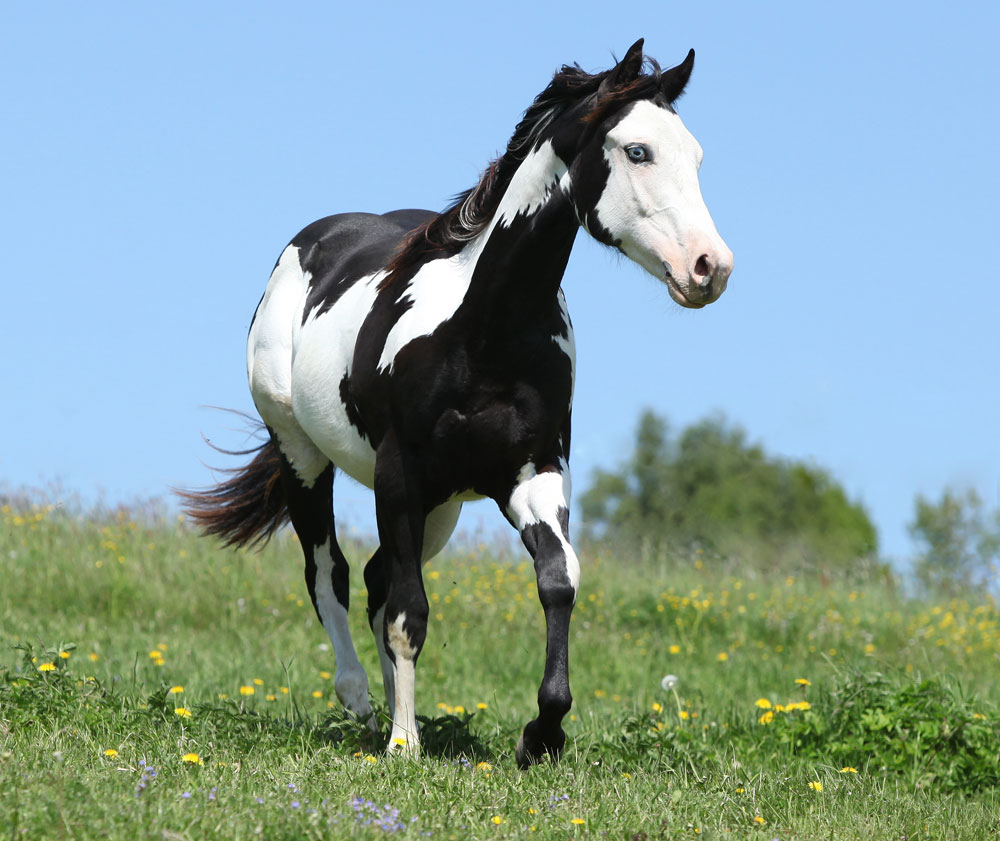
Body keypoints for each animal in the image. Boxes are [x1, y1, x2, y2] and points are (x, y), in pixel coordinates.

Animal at [184, 39, 736, 764]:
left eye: (696, 155)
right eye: (638, 150)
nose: (711, 268)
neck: (483, 334)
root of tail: (310, 243)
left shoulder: (533, 473)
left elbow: (557, 579)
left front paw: (541, 735)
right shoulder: (400, 475)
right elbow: (407, 612)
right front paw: (404, 745)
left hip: (440, 508)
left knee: (375, 578)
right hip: (306, 456)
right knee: (330, 574)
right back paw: (363, 704)